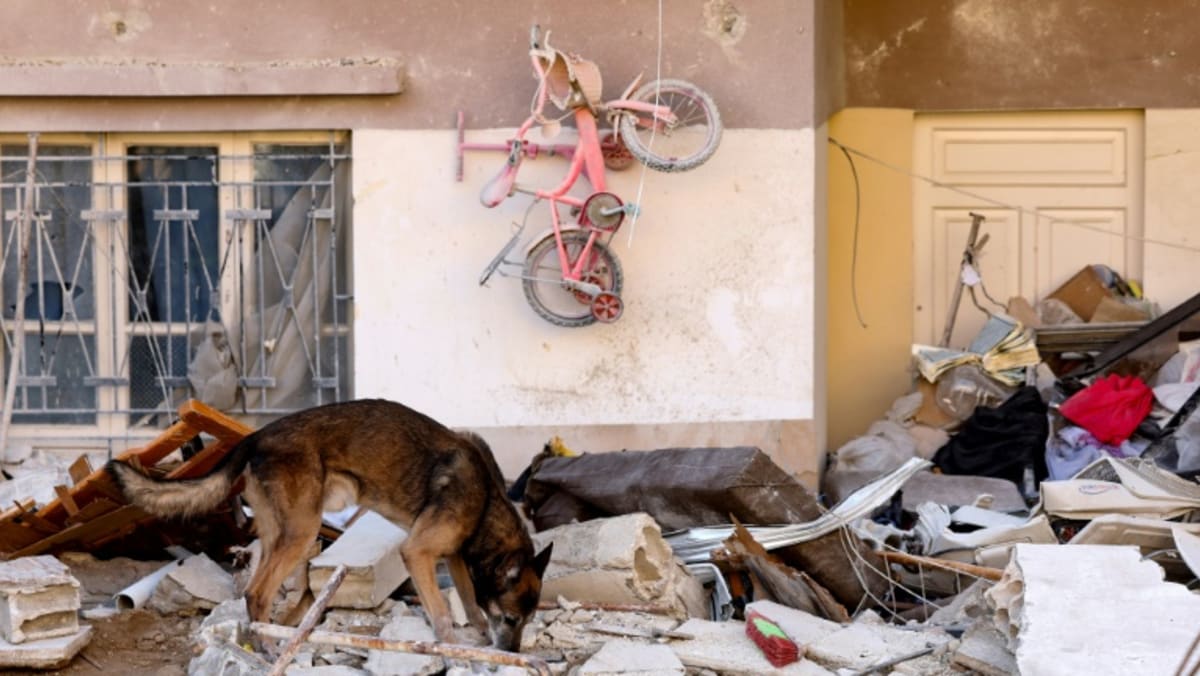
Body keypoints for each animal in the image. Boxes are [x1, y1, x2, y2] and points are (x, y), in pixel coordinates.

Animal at [105, 398, 549, 653]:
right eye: (513, 620)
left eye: (526, 622)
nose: (514, 654)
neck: (486, 500)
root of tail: (255, 438)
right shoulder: (419, 551)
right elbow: (441, 611)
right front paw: (454, 650)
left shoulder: (454, 554)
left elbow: (470, 601)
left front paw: (477, 636)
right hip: (302, 531)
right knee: (256, 593)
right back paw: (270, 650)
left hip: (282, 535)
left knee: (262, 593)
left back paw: (275, 639)